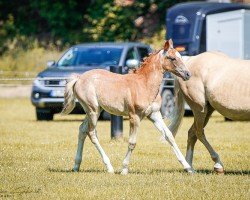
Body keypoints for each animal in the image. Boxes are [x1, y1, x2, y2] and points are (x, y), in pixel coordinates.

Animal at [61, 39, 193, 174]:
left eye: (180, 57)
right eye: (172, 58)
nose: (188, 74)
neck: (144, 84)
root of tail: (79, 78)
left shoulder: (154, 114)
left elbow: (169, 136)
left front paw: (188, 167)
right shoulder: (134, 116)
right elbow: (132, 142)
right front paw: (124, 169)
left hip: (95, 110)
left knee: (82, 129)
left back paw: (76, 165)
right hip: (92, 110)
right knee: (92, 133)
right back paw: (109, 167)